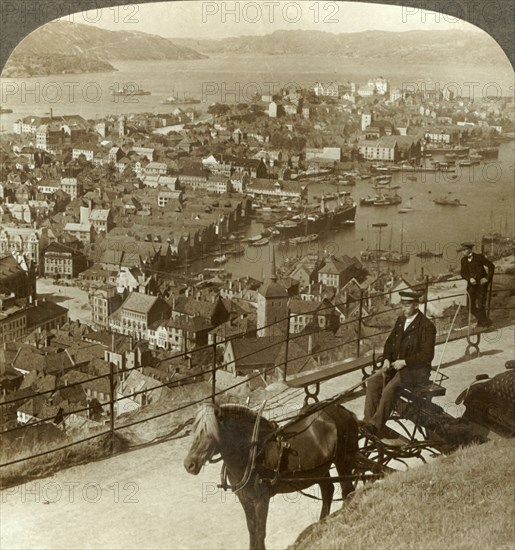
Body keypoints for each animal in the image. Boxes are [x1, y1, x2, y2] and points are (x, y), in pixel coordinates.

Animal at [184, 402, 358, 550]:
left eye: (209, 433)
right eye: (195, 432)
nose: (189, 465)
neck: (251, 454)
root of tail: (341, 410)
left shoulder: (261, 499)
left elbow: (260, 532)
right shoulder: (245, 499)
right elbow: (252, 530)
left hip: (343, 461)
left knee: (347, 490)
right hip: (320, 470)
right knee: (328, 490)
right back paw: (320, 524)